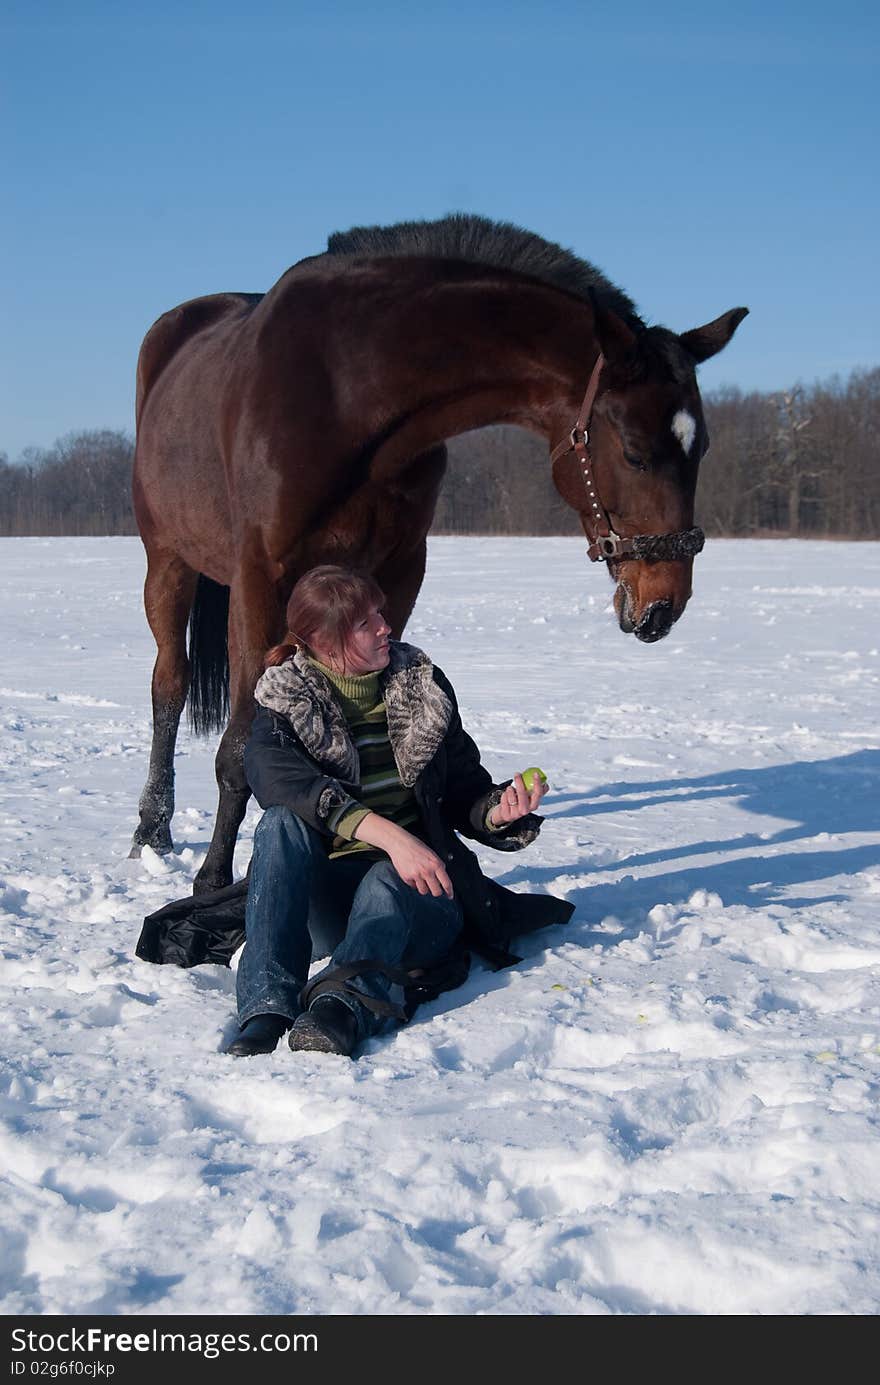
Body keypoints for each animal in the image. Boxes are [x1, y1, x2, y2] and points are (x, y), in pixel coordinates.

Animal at [128, 210, 748, 891]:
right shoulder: (259, 576)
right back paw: (151, 827)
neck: (346, 391)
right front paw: (213, 879)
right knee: (169, 684)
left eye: (702, 448)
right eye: (636, 452)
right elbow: (240, 746)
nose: (664, 604)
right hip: (168, 561)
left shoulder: (397, 573)